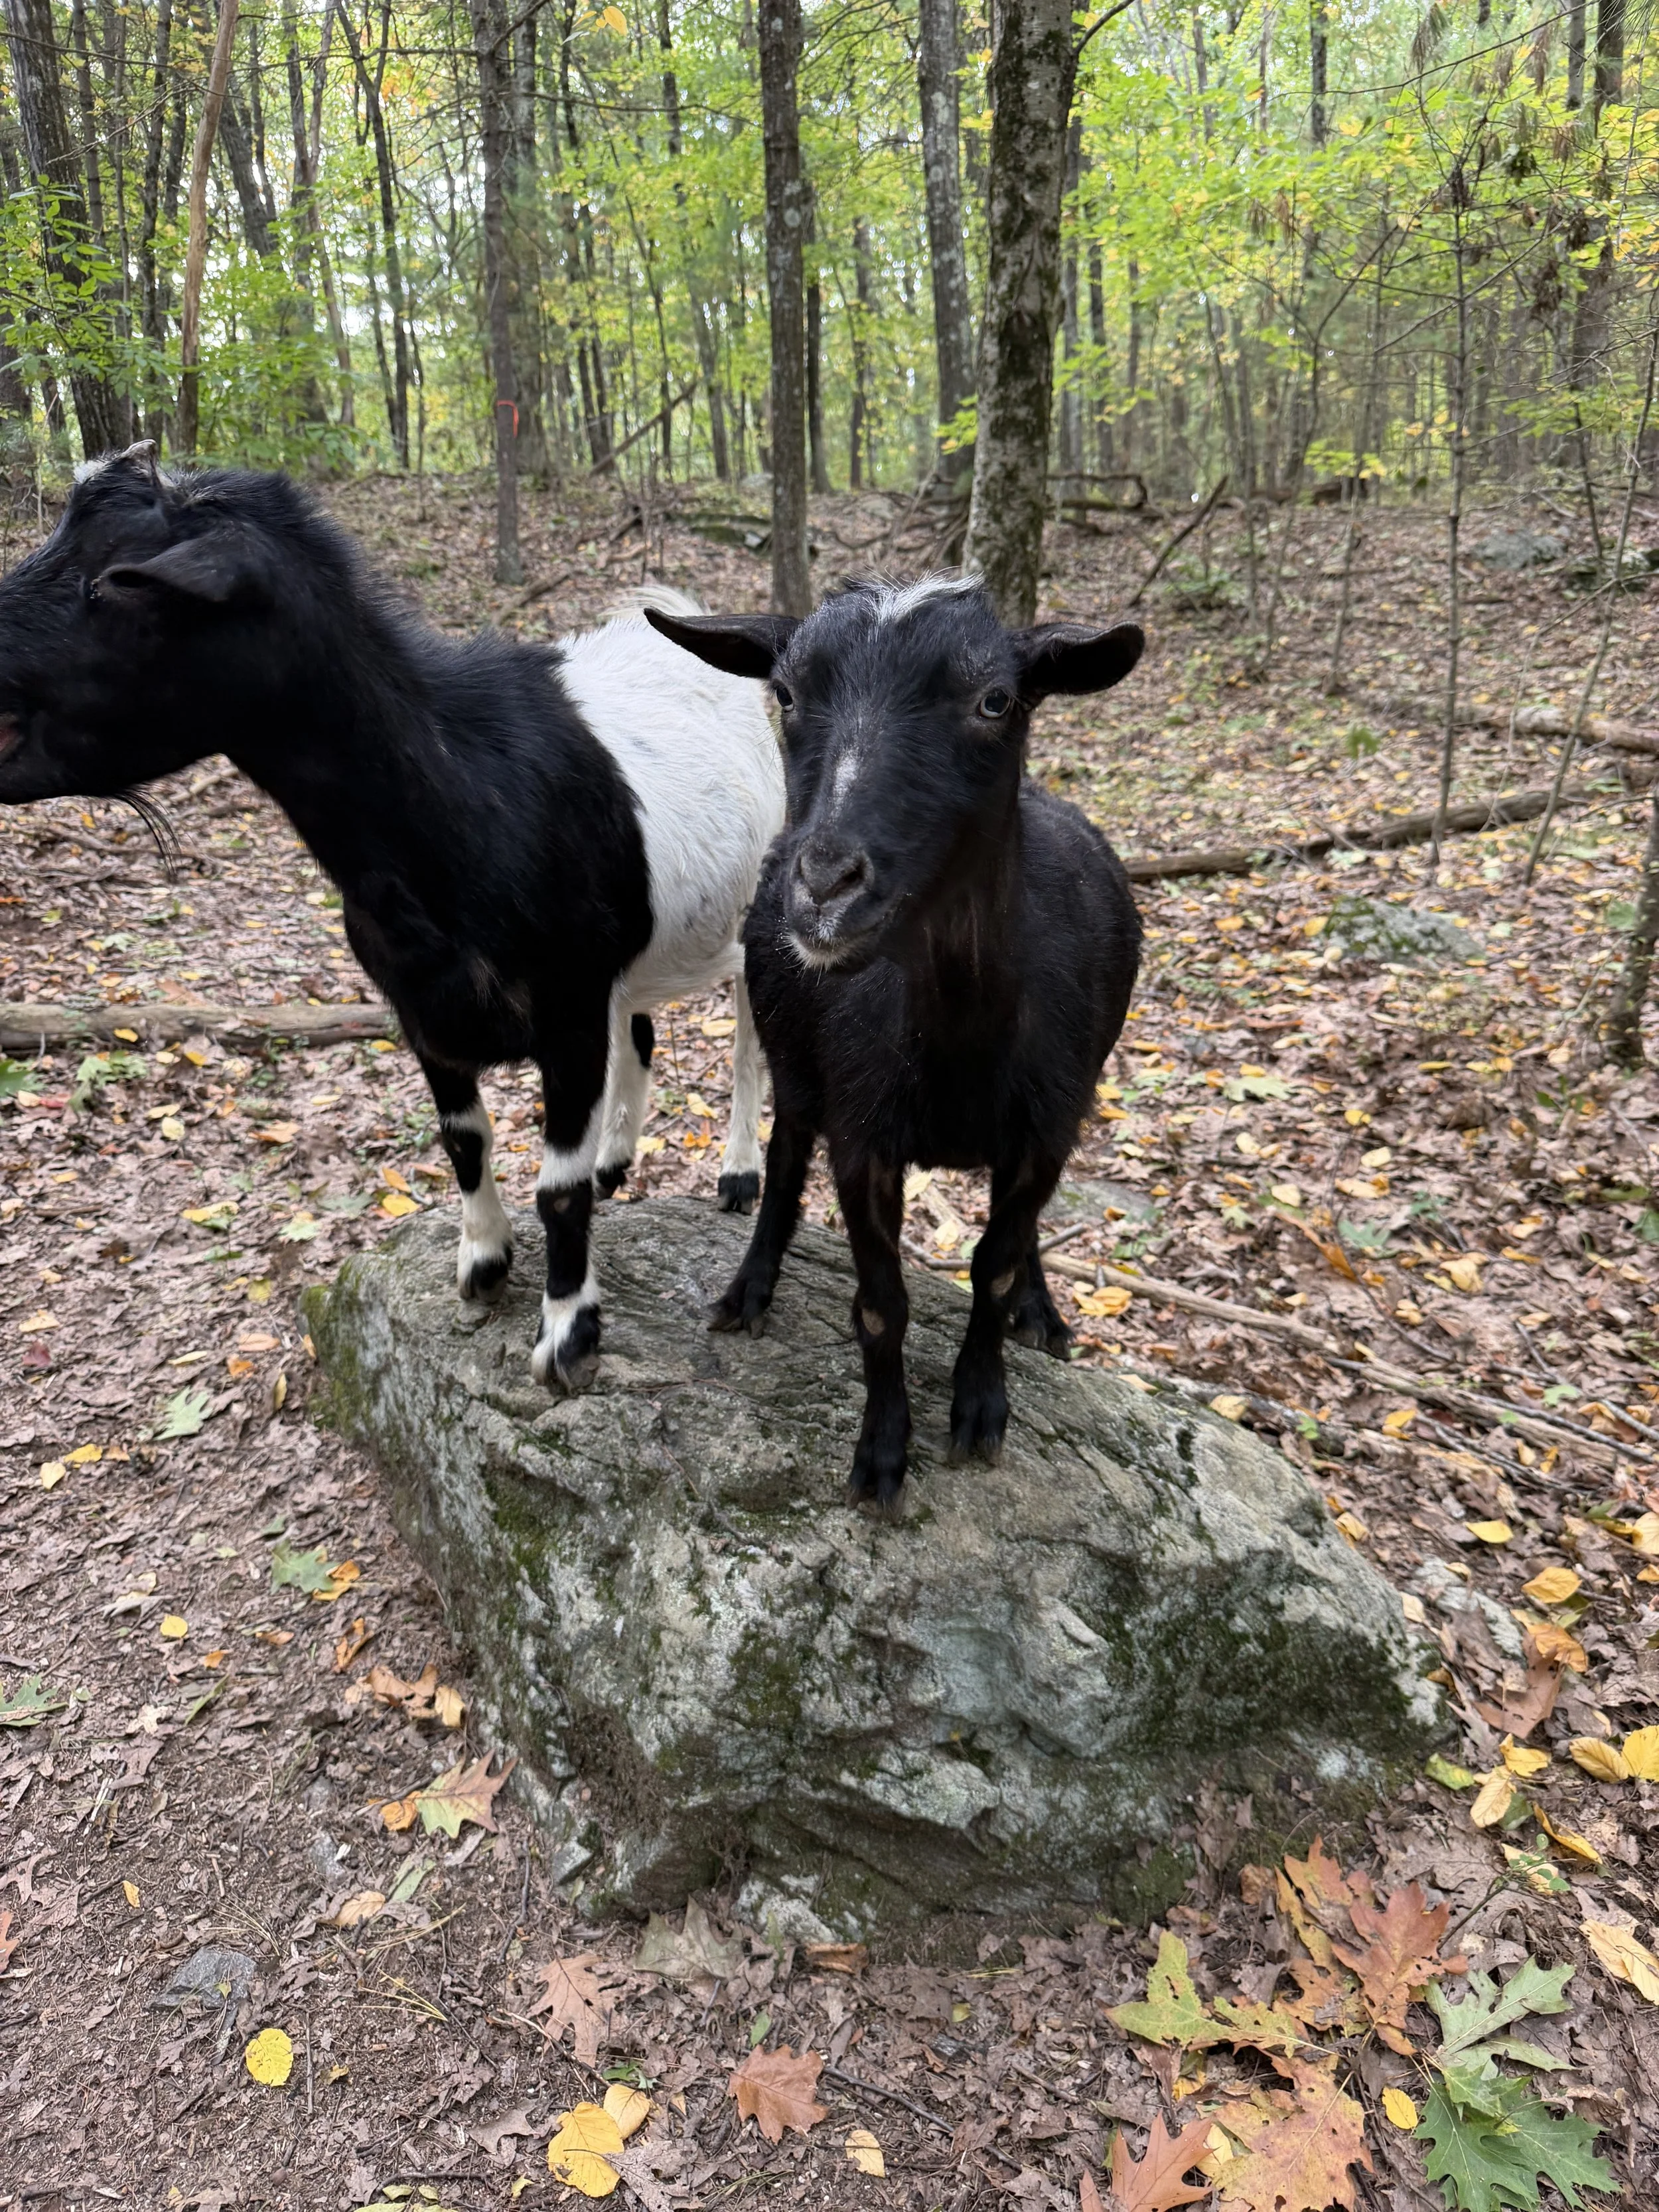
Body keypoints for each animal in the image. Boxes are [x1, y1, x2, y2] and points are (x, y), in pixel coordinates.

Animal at [0, 443, 784, 1388]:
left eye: (111, 584)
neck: (466, 797)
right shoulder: (419, 1005)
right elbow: (465, 1140)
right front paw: (483, 1263)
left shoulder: (565, 1006)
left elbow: (554, 1188)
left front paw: (568, 1333)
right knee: (640, 1029)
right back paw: (617, 1158)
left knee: (745, 1032)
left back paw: (736, 1174)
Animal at [648, 575, 1144, 1503]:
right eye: (785, 692)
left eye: (996, 700)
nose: (823, 887)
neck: (962, 1035)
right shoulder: (862, 1132)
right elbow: (881, 1303)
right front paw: (881, 1453)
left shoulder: (1045, 1129)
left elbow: (995, 1265)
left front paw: (981, 1407)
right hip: (796, 1062)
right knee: (781, 1166)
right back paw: (748, 1289)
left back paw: (1043, 1314)